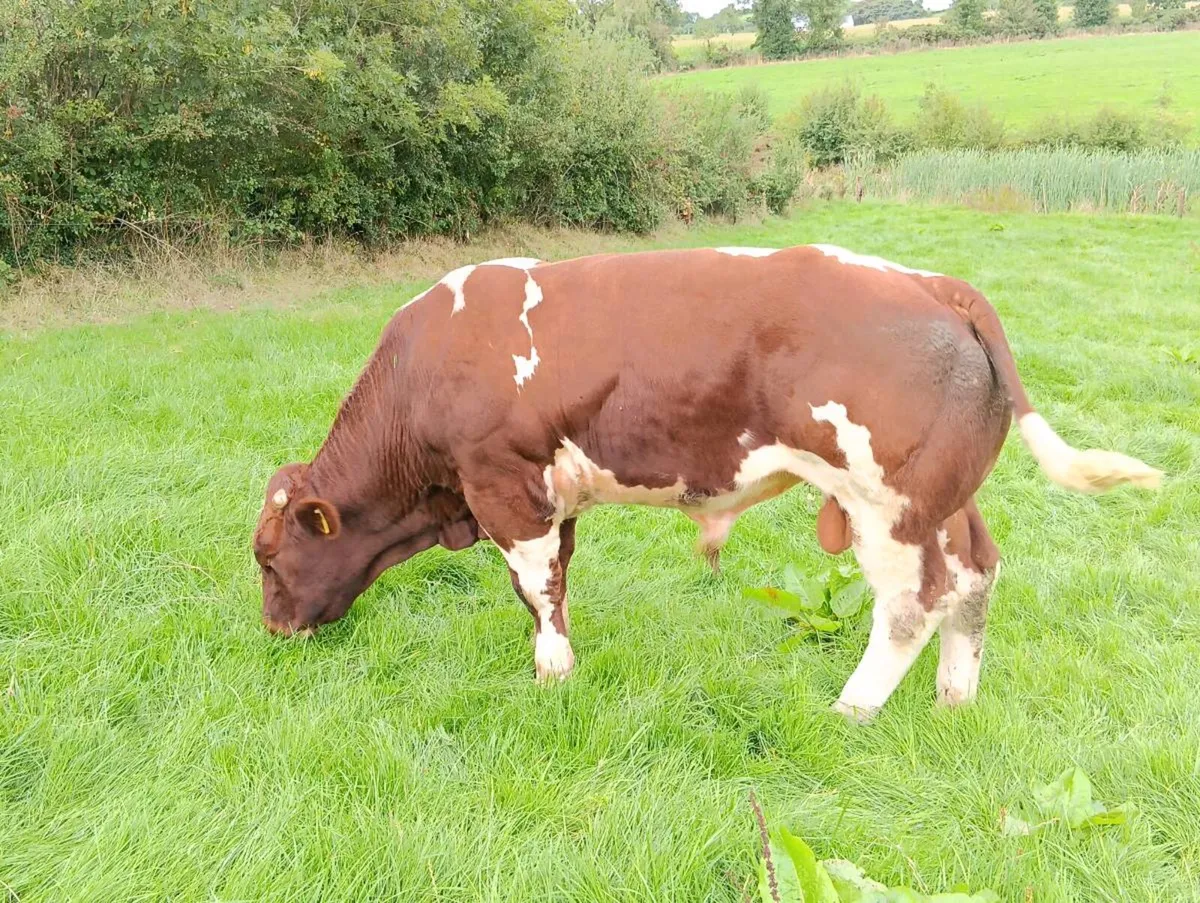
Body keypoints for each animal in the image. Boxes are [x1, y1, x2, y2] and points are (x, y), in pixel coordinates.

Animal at [252, 244, 1161, 720]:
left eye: (267, 557)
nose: (273, 629)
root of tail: (927, 281)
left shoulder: (502, 483)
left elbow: (535, 588)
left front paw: (552, 673)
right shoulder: (552, 493)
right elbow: (559, 580)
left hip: (886, 503)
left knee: (913, 601)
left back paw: (853, 707)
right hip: (946, 497)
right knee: (977, 573)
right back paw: (953, 697)